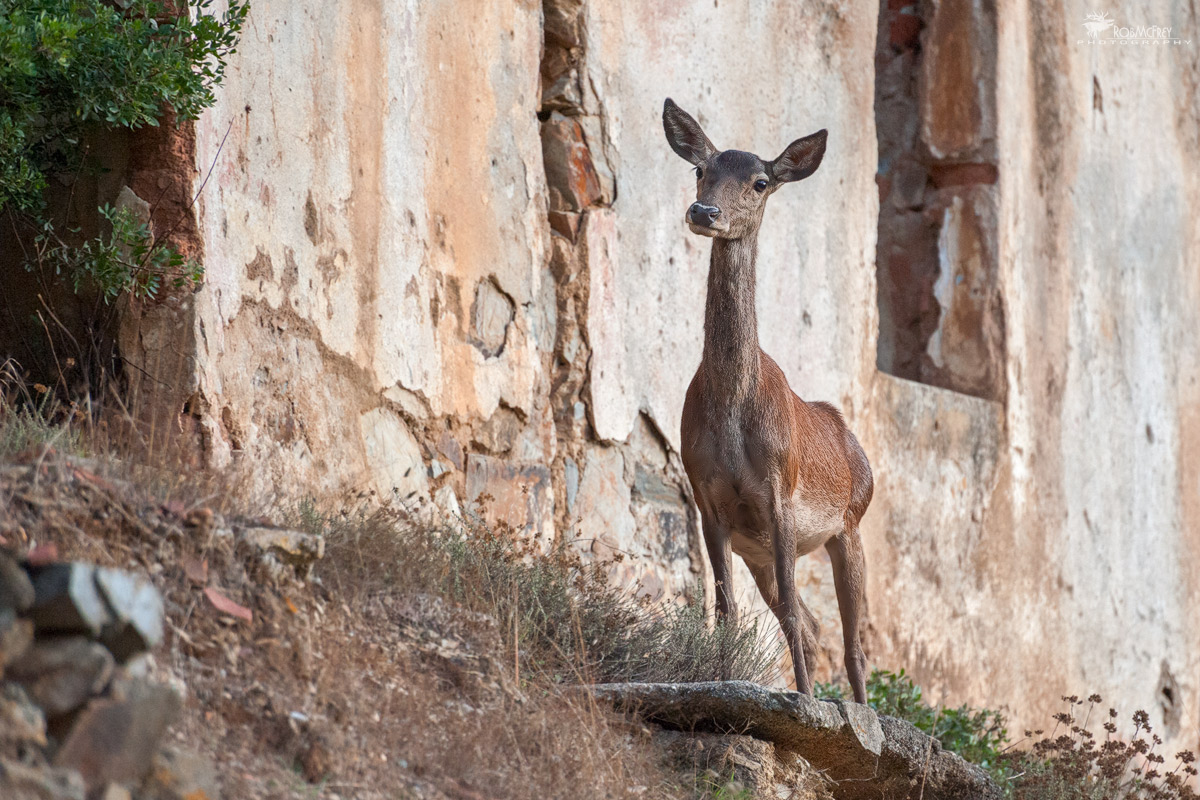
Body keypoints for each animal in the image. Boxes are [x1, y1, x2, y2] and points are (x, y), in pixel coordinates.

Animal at [667, 98, 873, 700]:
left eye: (760, 182)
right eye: (700, 168)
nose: (704, 211)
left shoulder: (781, 491)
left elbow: (787, 617)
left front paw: (804, 700)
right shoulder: (708, 501)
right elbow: (725, 609)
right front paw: (721, 680)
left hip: (851, 525)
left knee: (850, 642)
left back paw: (856, 709)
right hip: (758, 546)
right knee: (807, 621)